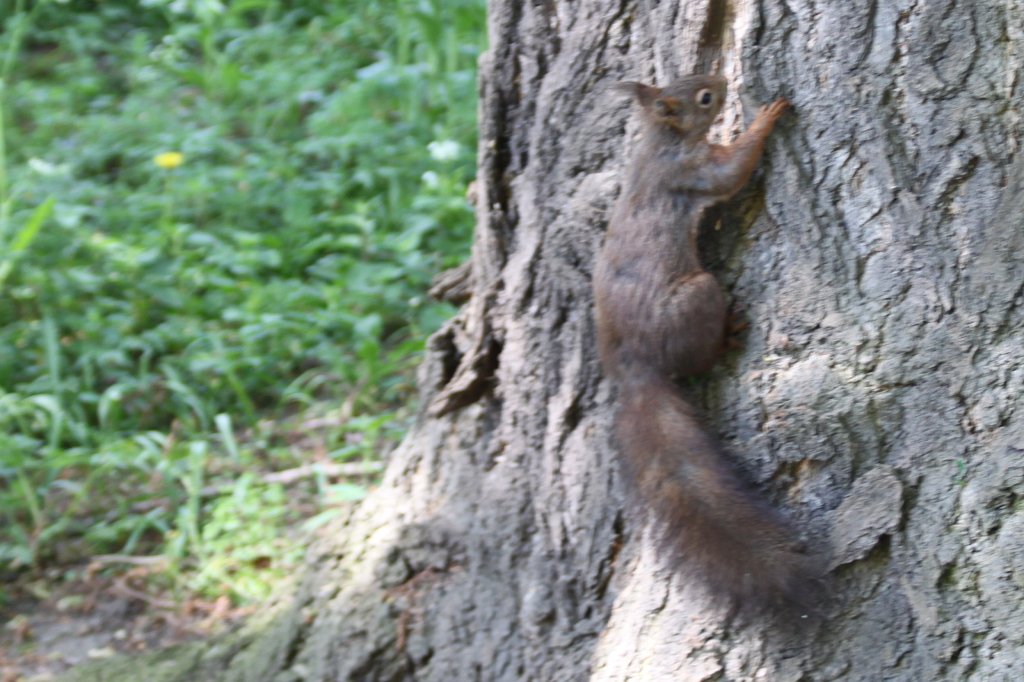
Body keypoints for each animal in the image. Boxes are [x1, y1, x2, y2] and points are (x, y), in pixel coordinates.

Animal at [593, 74, 819, 610]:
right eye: (704, 98)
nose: (721, 80)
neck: (660, 141)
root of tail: (633, 365)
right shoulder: (691, 172)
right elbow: (731, 172)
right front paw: (765, 118)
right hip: (699, 294)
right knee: (696, 359)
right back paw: (727, 336)